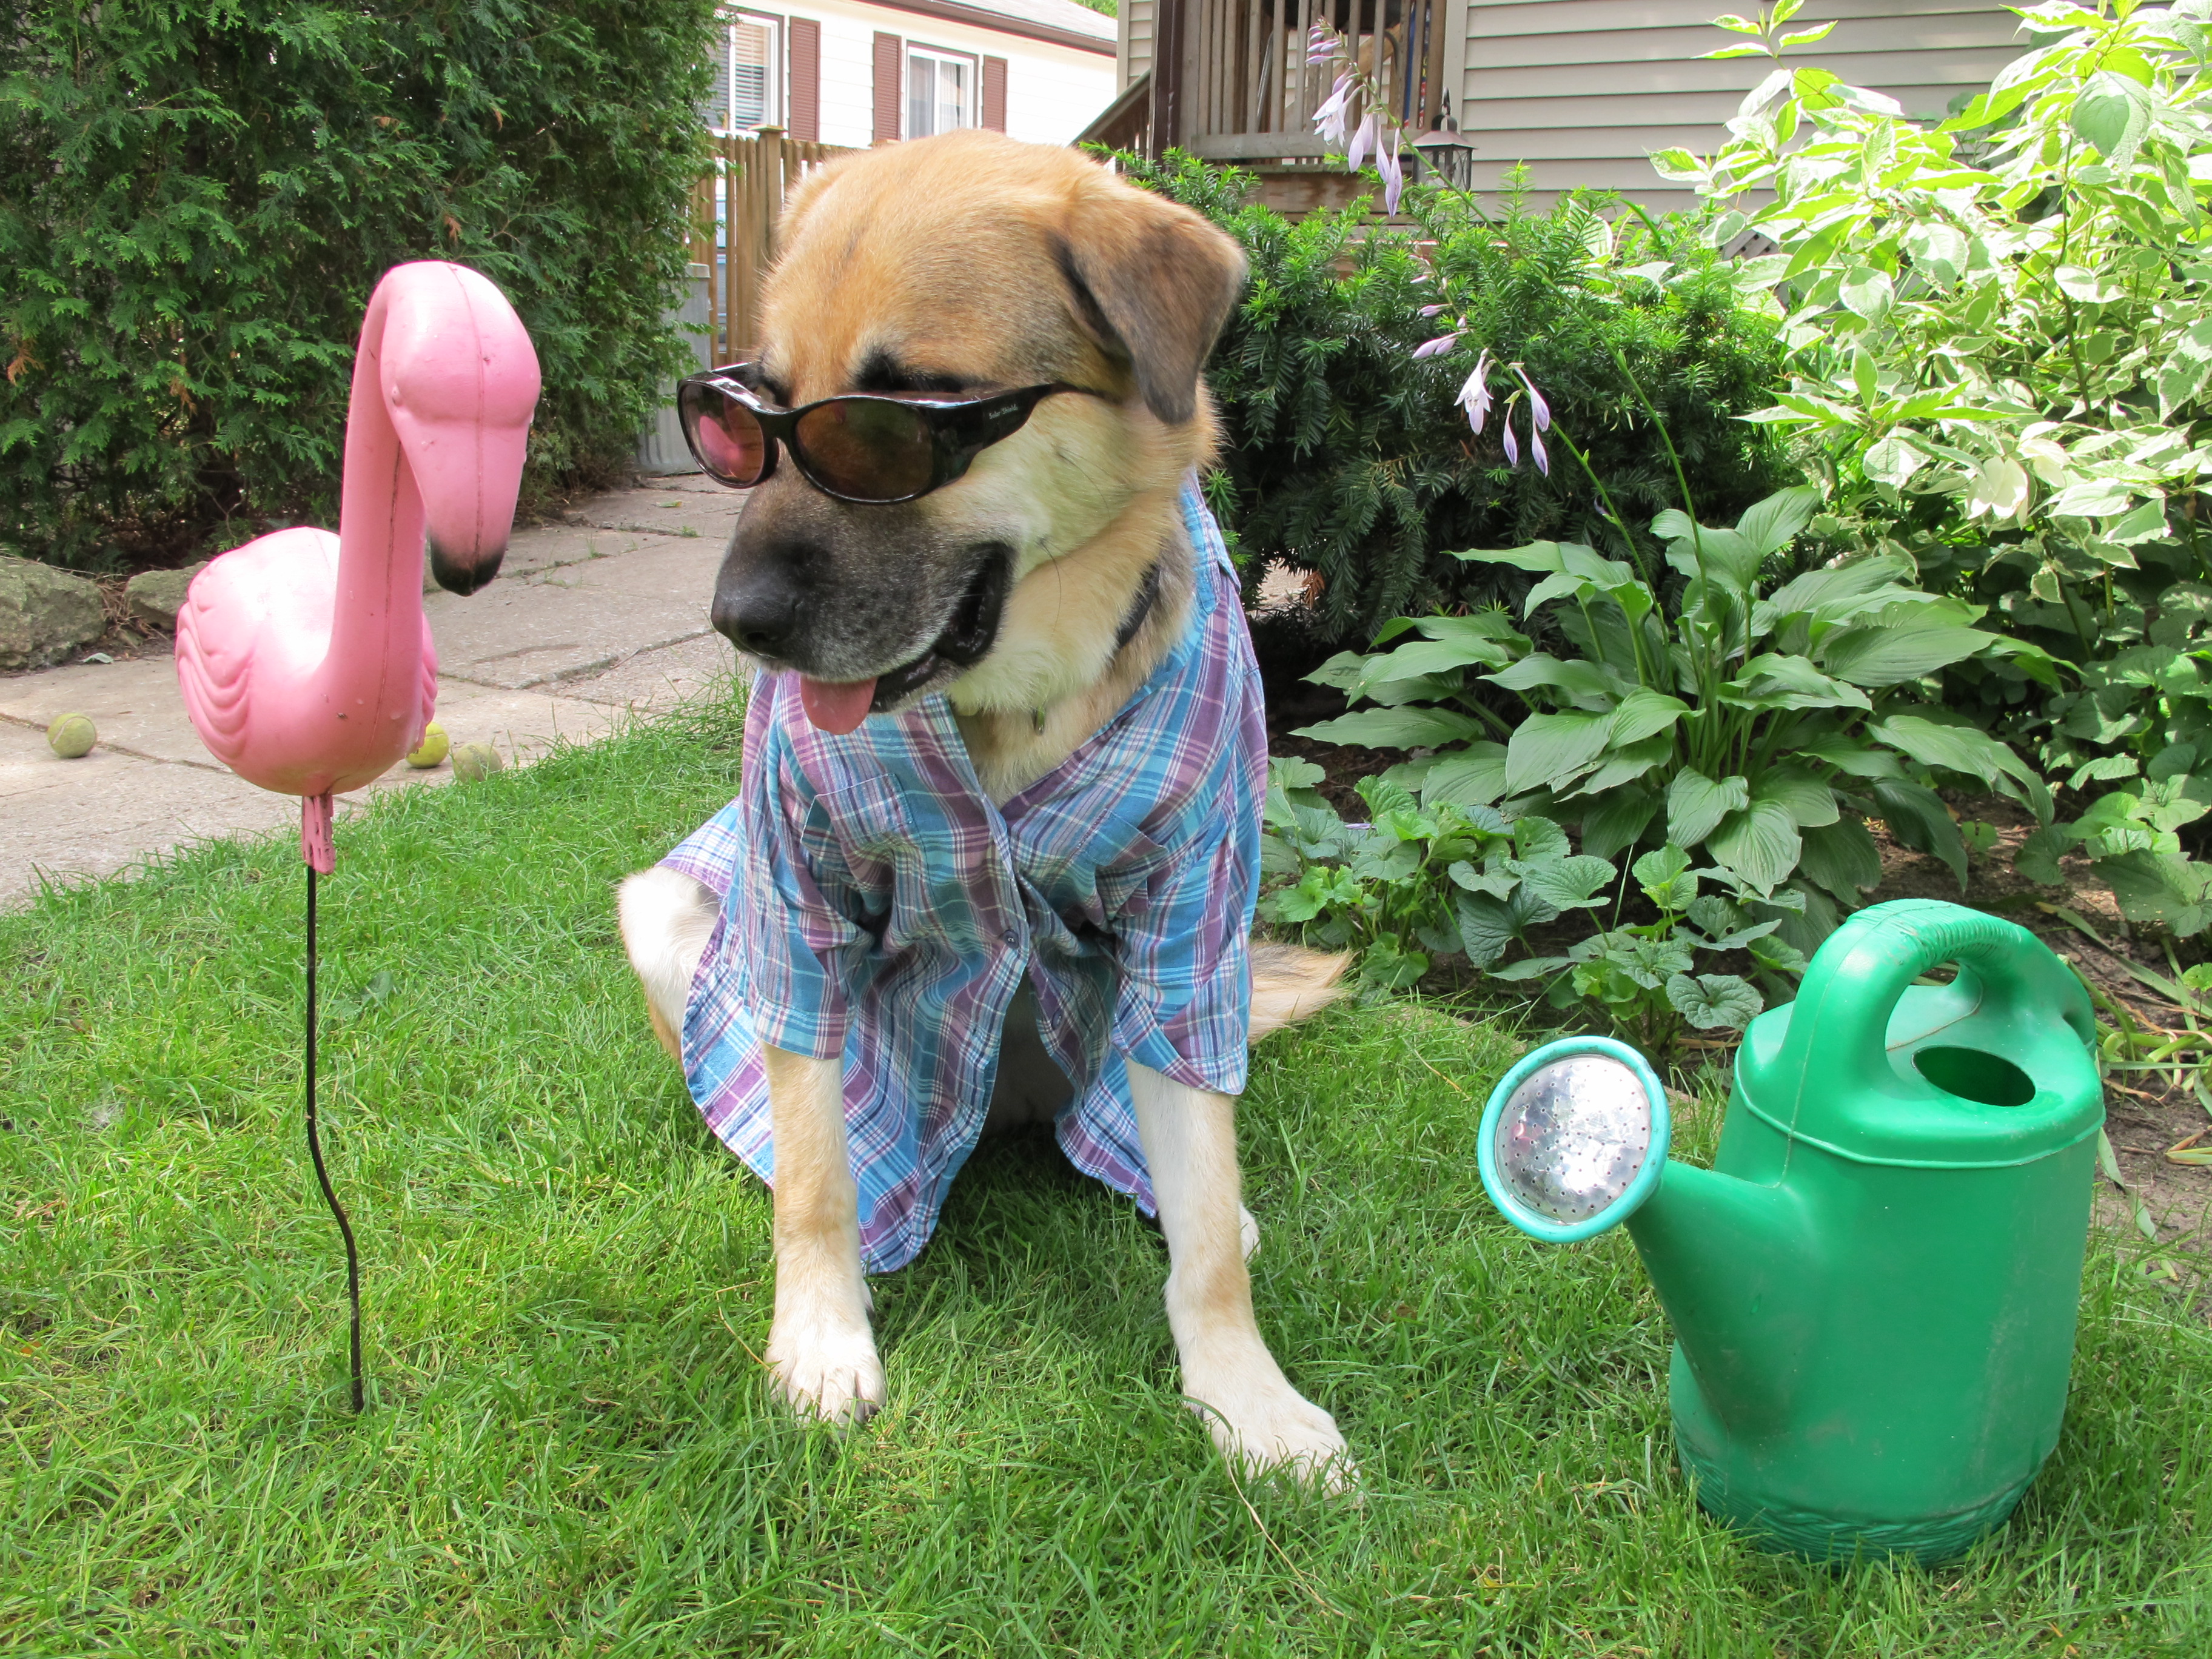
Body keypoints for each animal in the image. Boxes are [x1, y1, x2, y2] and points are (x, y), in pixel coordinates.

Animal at [617, 130, 1353, 1486]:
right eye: (748, 413)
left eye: (889, 425)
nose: (736, 623)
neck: (1012, 698)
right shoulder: (798, 906)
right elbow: (816, 1179)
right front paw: (821, 1338)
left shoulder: (1190, 925)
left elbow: (1204, 1224)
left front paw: (1246, 1392)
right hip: (664, 910)